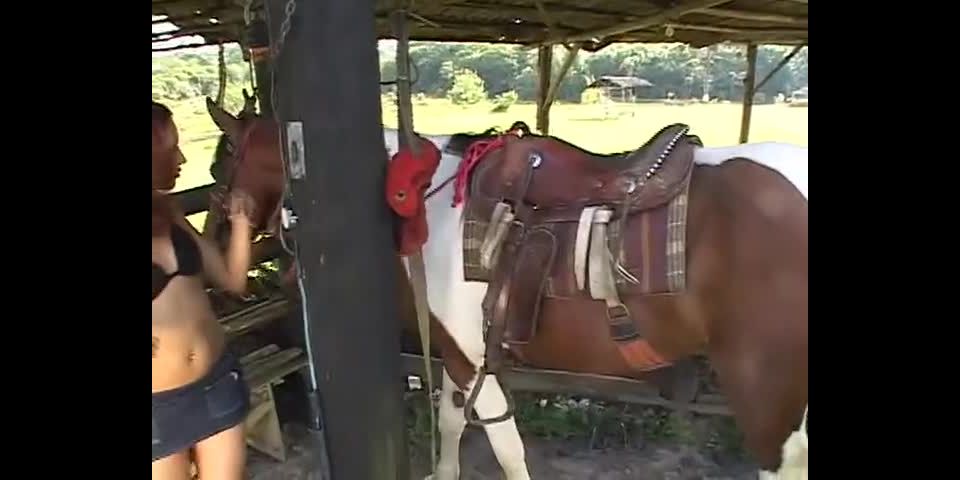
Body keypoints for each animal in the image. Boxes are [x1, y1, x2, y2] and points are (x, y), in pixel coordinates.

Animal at [203, 98, 807, 480]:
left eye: (219, 166)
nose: (215, 246)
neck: (424, 202)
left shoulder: (476, 358)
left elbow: (507, 448)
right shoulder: (456, 354)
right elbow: (452, 421)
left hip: (768, 397)